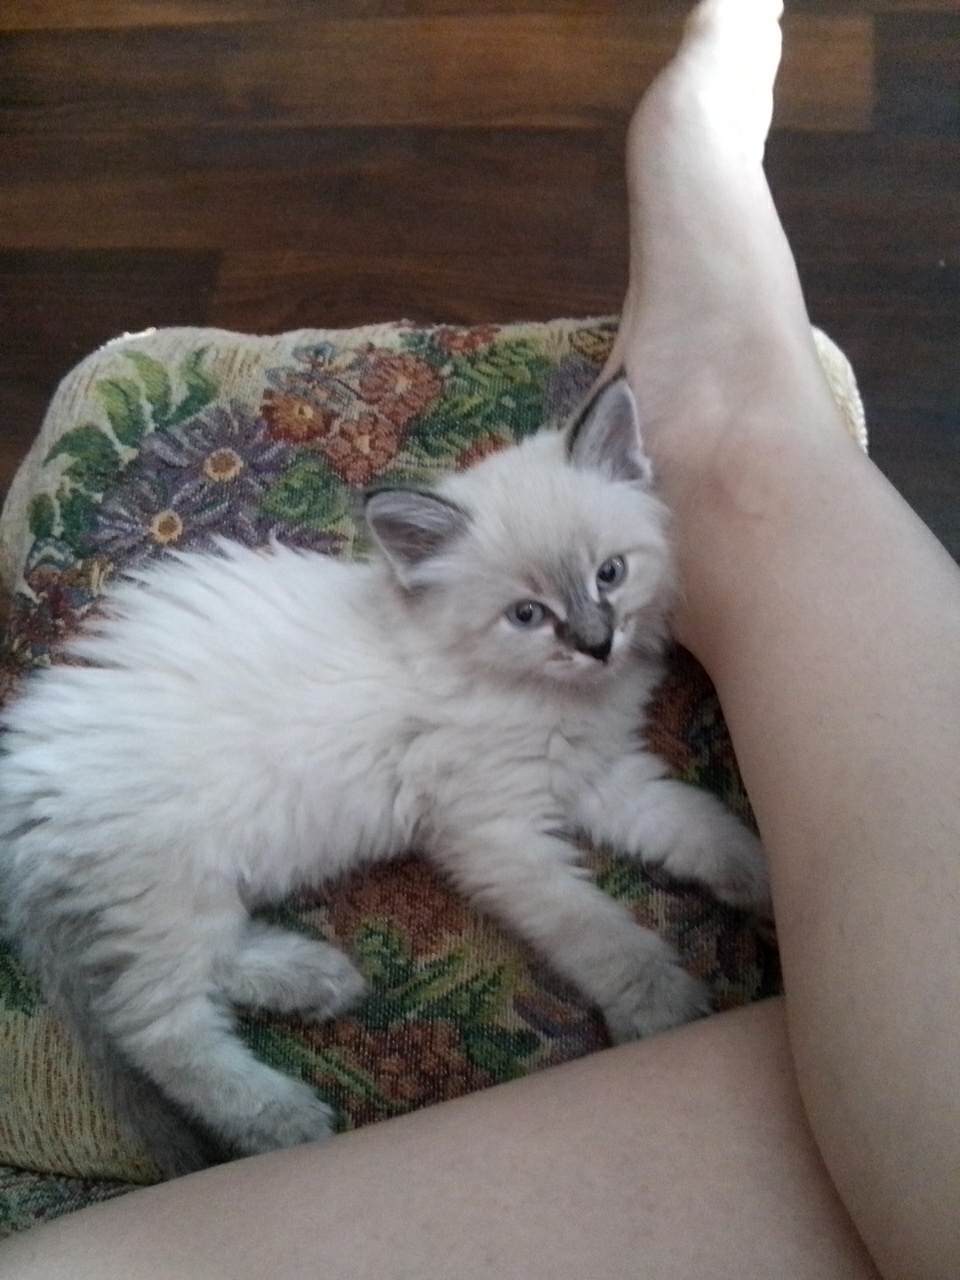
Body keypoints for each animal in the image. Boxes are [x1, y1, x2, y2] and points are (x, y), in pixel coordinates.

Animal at [0, 375, 769, 1175]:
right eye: (527, 615)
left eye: (610, 574)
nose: (596, 643)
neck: (545, 695)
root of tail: (22, 777)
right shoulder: (492, 833)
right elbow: (592, 928)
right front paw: (661, 1005)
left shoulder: (600, 776)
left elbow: (697, 826)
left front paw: (768, 882)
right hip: (170, 887)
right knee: (155, 1025)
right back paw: (283, 1117)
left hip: (201, 884)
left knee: (206, 968)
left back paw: (314, 979)